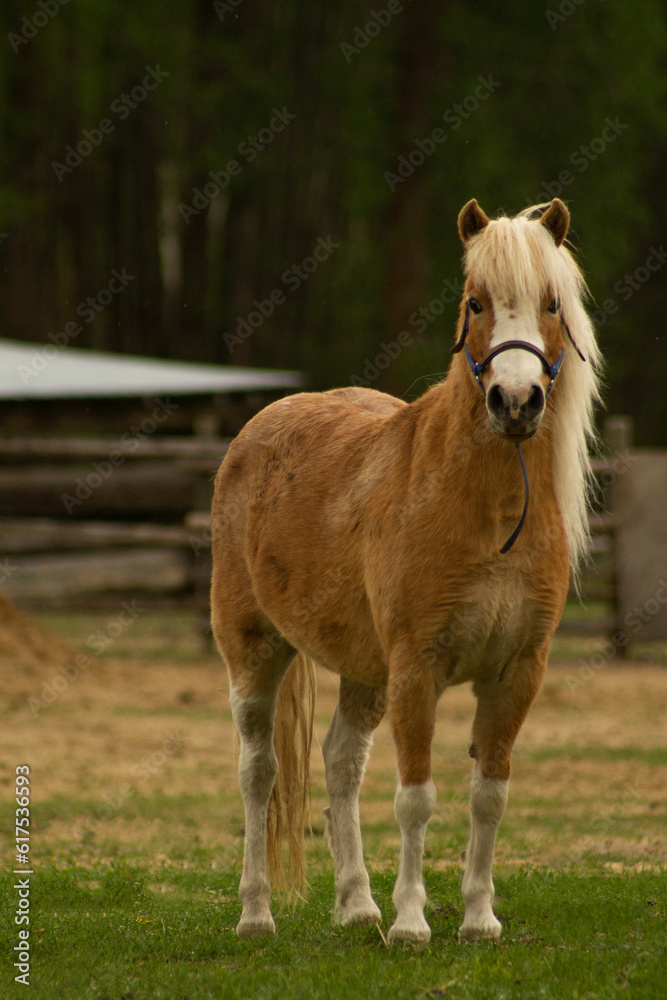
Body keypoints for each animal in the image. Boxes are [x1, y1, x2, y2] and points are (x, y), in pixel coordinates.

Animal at [210, 198, 601, 944]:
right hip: (254, 651)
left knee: (340, 761)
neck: (487, 514)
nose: (516, 401)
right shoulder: (417, 669)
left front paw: (477, 918)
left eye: (551, 303)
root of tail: (259, 426)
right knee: (257, 771)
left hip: (364, 671)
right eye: (475, 302)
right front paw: (413, 922)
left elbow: (488, 796)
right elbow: (416, 798)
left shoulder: (516, 673)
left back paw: (357, 905)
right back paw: (255, 915)